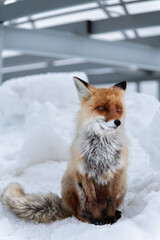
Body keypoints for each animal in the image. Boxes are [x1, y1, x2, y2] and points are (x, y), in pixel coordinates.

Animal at [1, 77, 128, 225]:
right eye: (102, 108)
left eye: (118, 109)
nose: (118, 122)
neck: (102, 149)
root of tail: (65, 205)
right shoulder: (85, 172)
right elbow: (94, 200)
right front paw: (98, 220)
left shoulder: (117, 171)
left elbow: (111, 200)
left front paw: (110, 218)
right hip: (76, 186)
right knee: (78, 213)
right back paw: (90, 218)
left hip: (123, 185)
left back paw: (113, 214)